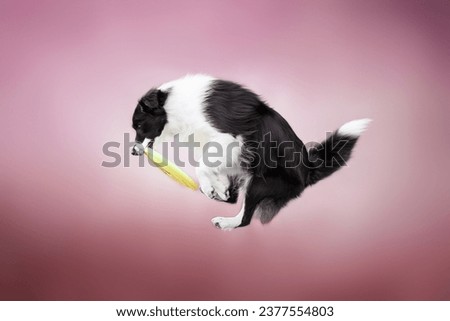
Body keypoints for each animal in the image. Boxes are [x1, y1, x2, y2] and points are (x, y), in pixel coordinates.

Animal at [130, 74, 370, 229]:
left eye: (139, 125)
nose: (133, 151)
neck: (171, 104)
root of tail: (307, 170)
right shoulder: (218, 148)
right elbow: (209, 166)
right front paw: (217, 186)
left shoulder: (229, 139)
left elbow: (202, 166)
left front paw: (210, 186)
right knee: (234, 201)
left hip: (259, 183)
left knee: (245, 218)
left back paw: (226, 222)